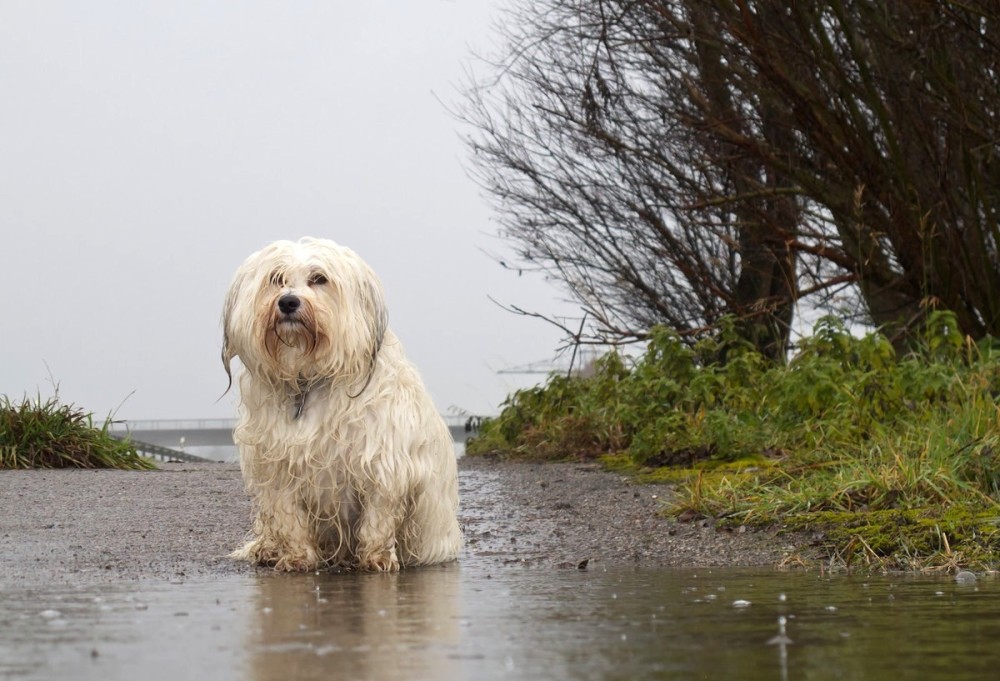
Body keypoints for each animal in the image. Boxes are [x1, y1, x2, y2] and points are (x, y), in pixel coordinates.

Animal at [223, 236, 460, 572]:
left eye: (319, 278)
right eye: (276, 278)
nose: (288, 302)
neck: (308, 378)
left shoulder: (382, 461)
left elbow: (378, 516)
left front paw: (376, 558)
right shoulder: (278, 466)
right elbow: (288, 516)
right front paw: (297, 557)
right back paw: (267, 550)